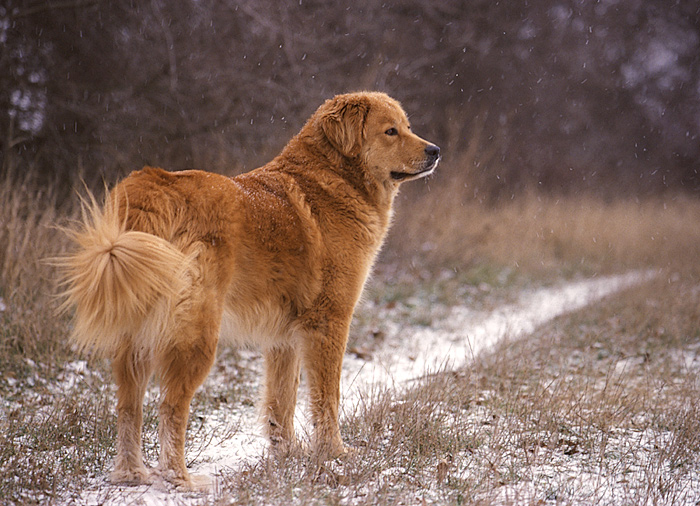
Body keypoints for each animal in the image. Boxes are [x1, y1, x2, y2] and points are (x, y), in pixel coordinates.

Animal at [57, 91, 440, 490]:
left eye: (408, 127)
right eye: (391, 131)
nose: (435, 150)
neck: (333, 179)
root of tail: (154, 187)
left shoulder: (284, 338)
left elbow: (281, 400)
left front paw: (288, 454)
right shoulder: (329, 322)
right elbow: (326, 397)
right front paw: (334, 453)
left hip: (138, 339)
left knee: (128, 407)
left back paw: (132, 474)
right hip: (196, 336)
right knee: (170, 407)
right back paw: (180, 479)